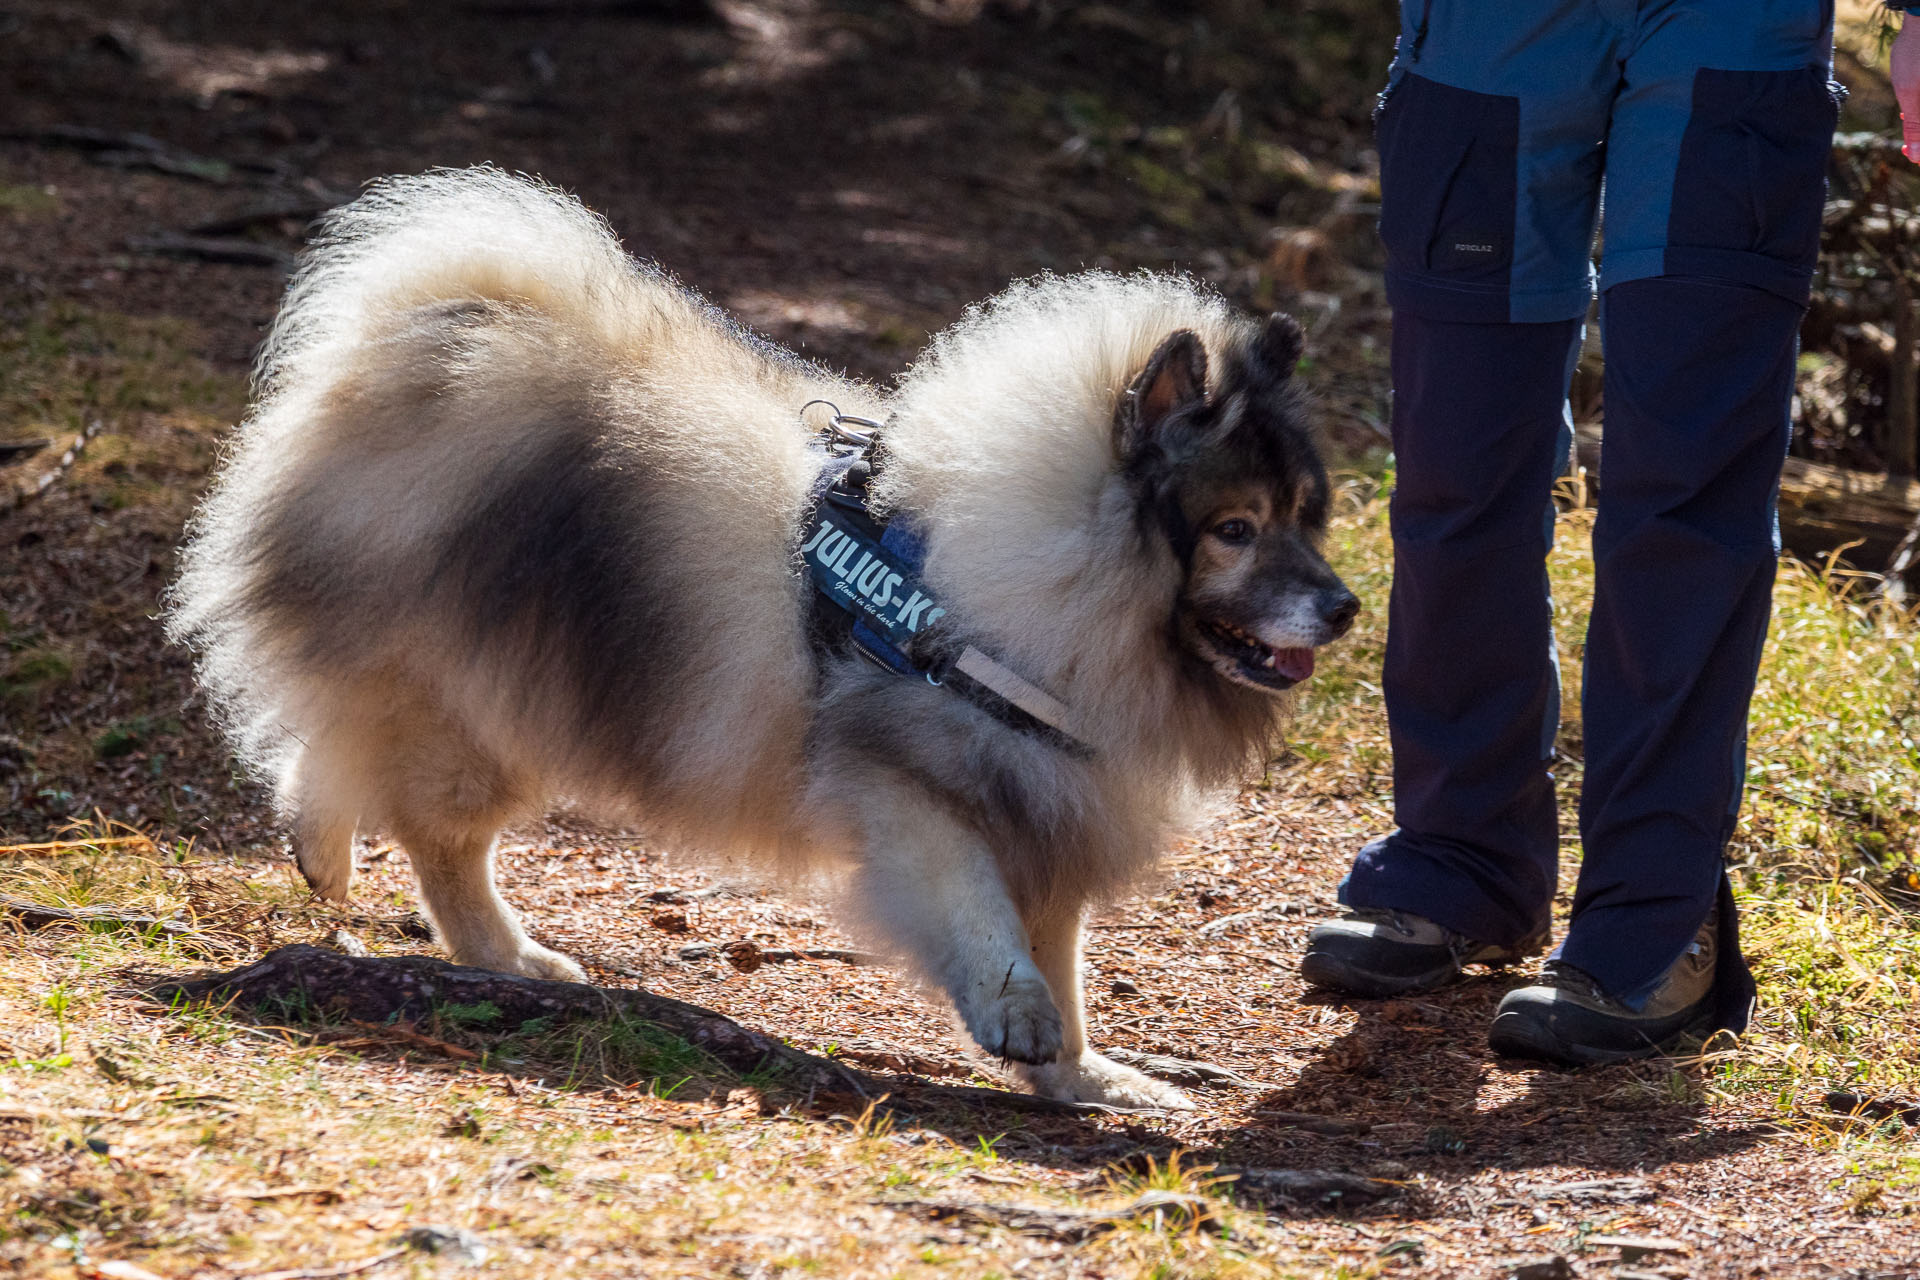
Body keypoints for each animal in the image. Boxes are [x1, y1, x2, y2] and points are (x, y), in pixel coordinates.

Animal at [172, 167, 1359, 1113]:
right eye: (1235, 529)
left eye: (1308, 515)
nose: (1346, 605)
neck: (1043, 583)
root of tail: (433, 341)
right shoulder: (914, 789)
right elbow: (985, 920)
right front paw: (1014, 1015)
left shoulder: (1050, 809)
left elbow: (1064, 962)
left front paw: (1080, 1073)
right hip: (470, 698)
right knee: (392, 796)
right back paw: (401, 891)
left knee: (392, 795)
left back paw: (467, 935)